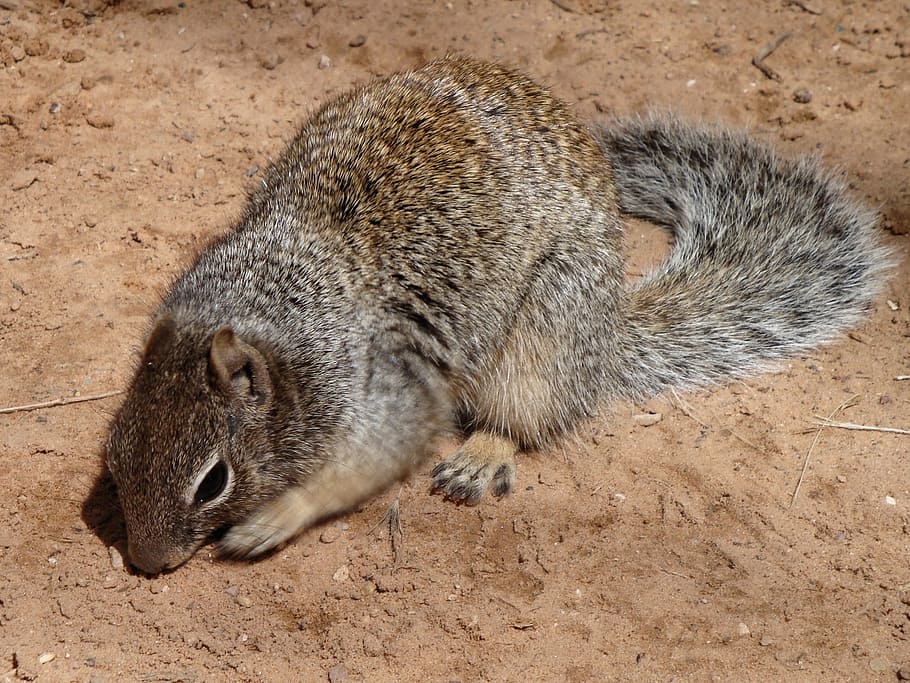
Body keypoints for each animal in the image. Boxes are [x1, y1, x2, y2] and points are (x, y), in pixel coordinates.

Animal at [105, 57, 891, 574]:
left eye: (214, 480)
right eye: (111, 455)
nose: (146, 562)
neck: (270, 305)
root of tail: (606, 337)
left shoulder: (386, 385)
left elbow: (370, 460)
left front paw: (275, 517)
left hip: (545, 330)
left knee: (527, 415)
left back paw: (484, 452)